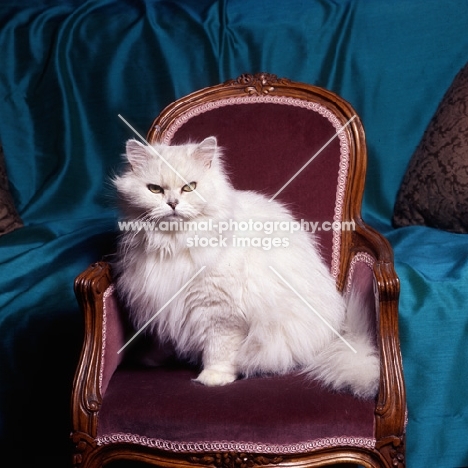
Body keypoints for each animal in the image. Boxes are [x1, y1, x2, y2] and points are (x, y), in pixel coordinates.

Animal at [113, 135, 380, 398]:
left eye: (189, 187)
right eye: (154, 189)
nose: (172, 203)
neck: (174, 243)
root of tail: (338, 335)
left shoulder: (220, 312)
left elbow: (219, 349)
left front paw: (214, 378)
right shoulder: (164, 301)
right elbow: (165, 338)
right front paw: (152, 359)